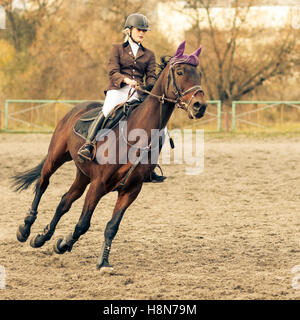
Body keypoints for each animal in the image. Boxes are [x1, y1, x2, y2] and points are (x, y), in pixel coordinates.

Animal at [12, 40, 209, 272]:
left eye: (198, 74)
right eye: (179, 72)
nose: (200, 106)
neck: (136, 135)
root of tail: (77, 109)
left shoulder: (130, 190)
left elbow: (111, 226)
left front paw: (99, 260)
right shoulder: (98, 184)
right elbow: (83, 223)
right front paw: (65, 243)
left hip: (83, 175)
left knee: (64, 201)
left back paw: (41, 238)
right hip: (56, 158)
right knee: (43, 184)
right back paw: (25, 229)